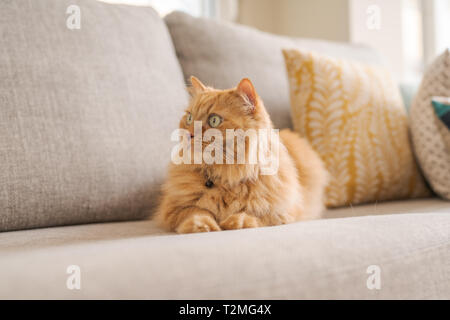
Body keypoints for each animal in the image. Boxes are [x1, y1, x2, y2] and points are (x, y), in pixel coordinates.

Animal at [155, 76, 326, 234]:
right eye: (189, 118)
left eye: (214, 120)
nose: (188, 134)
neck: (225, 175)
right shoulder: (173, 207)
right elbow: (196, 211)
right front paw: (202, 225)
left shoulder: (283, 211)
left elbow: (255, 215)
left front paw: (236, 222)